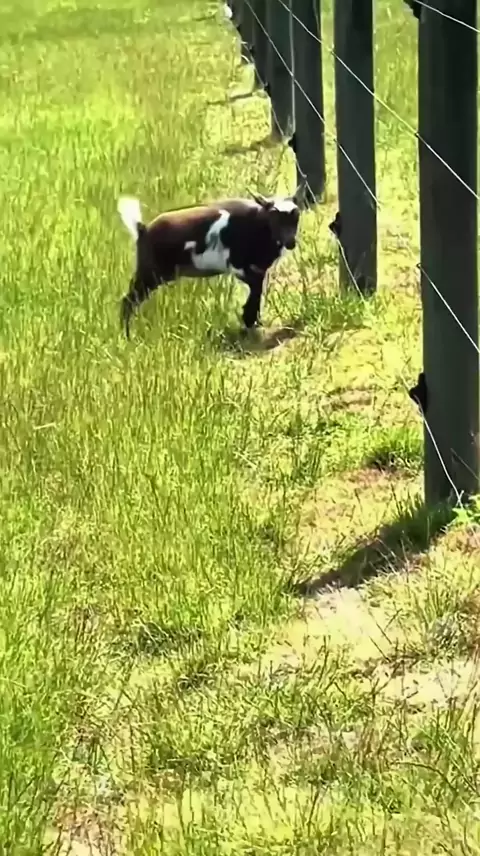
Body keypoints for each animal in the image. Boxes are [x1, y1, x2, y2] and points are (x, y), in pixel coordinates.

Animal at [116, 186, 304, 339]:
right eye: (274, 214)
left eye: (296, 215)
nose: (290, 242)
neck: (257, 224)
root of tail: (143, 229)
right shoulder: (238, 266)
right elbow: (256, 287)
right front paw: (249, 321)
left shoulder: (258, 269)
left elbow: (258, 289)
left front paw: (252, 321)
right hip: (150, 273)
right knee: (128, 301)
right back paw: (126, 337)